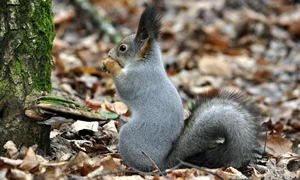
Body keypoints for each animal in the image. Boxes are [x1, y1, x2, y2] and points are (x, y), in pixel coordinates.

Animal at [100, 5, 260, 172]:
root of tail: (163, 163)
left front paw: (111, 64)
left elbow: (125, 88)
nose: (109, 53)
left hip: (130, 138)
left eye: (123, 48)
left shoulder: (139, 78)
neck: (145, 62)